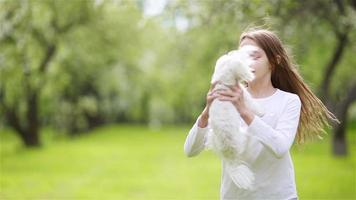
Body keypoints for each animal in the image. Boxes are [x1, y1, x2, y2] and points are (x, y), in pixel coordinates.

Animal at [206, 45, 264, 189]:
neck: (222, 82)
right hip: (243, 135)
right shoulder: (244, 95)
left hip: (211, 135)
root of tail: (229, 157)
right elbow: (252, 104)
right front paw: (261, 112)